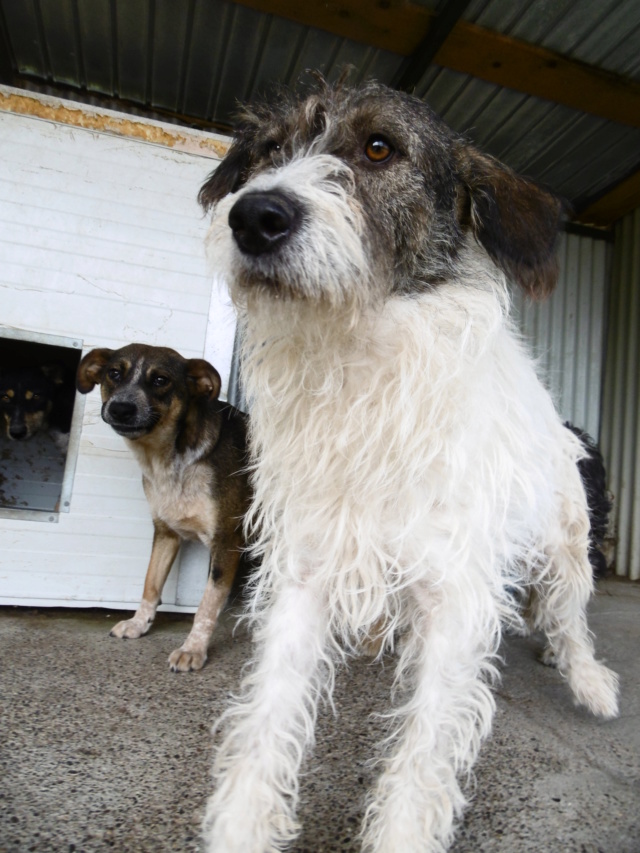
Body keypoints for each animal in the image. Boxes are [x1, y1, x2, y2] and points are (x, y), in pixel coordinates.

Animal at [76, 344, 251, 672]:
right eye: (113, 373)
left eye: (160, 380)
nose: (121, 409)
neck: (170, 460)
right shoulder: (165, 531)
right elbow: (150, 584)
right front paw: (138, 624)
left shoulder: (226, 541)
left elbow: (207, 604)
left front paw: (193, 649)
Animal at [198, 80, 616, 852]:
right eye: (269, 149)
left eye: (378, 148)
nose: (253, 217)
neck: (359, 360)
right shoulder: (304, 573)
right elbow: (267, 718)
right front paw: (241, 825)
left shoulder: (458, 595)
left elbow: (423, 755)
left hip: (566, 545)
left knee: (569, 617)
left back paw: (587, 678)